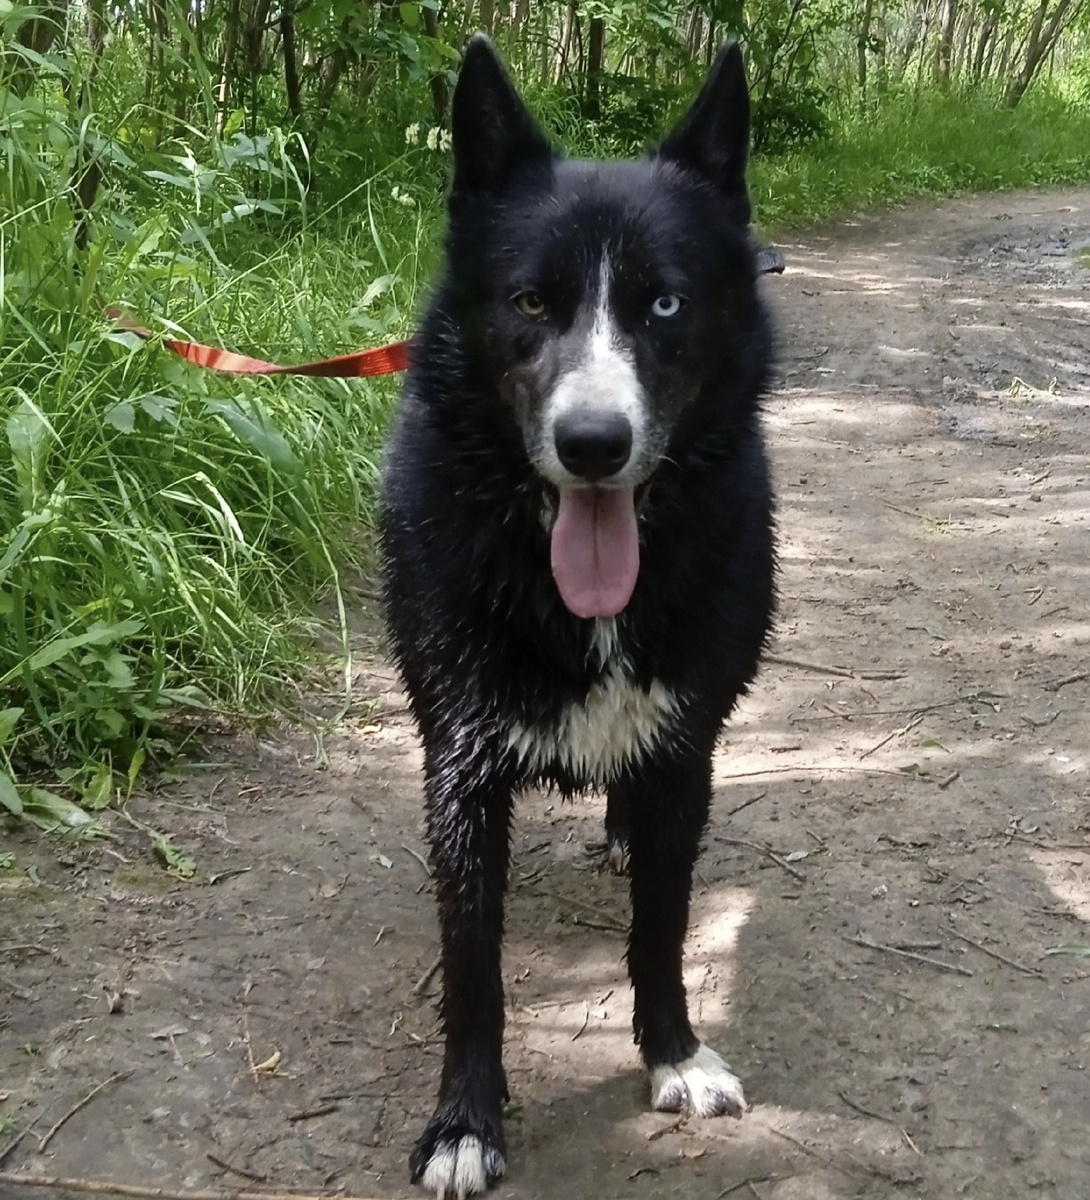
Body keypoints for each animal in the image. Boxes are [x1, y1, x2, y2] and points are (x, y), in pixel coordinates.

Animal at [384, 37, 773, 1200]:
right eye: (528, 301)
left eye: (664, 306)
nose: (594, 444)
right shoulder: (459, 768)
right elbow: (473, 965)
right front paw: (465, 1122)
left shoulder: (684, 755)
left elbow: (662, 925)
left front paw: (673, 1054)